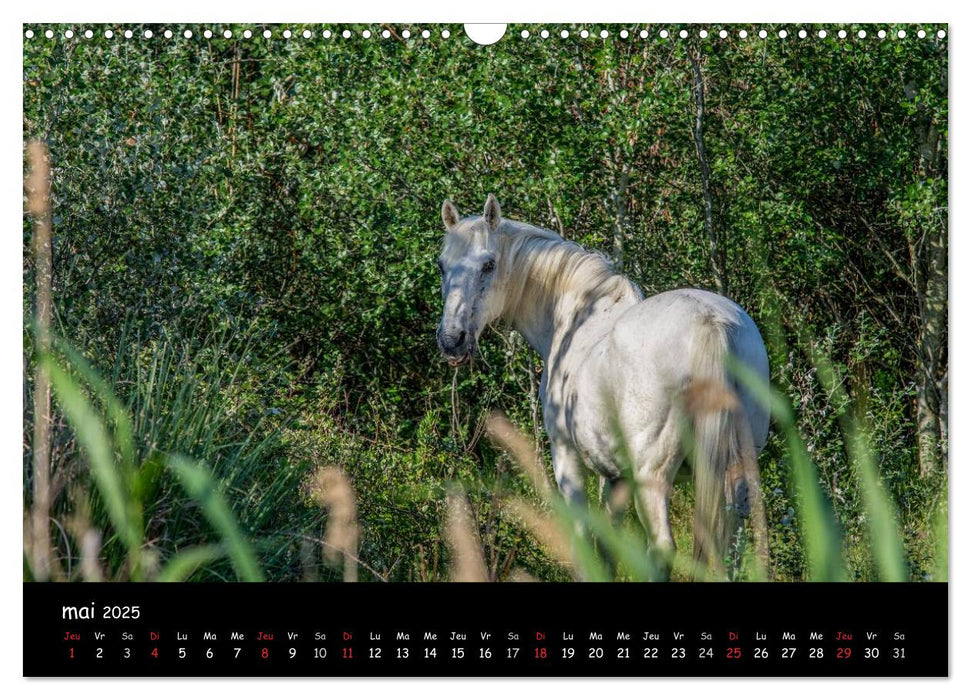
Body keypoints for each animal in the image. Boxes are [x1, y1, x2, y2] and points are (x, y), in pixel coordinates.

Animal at [436, 194, 772, 576]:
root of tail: (710, 322)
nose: (452, 340)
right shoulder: (615, 477)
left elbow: (583, 540)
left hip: (652, 478)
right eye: (442, 266)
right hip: (733, 476)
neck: (576, 316)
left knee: (662, 548)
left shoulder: (566, 456)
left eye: (489, 265)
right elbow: (610, 546)